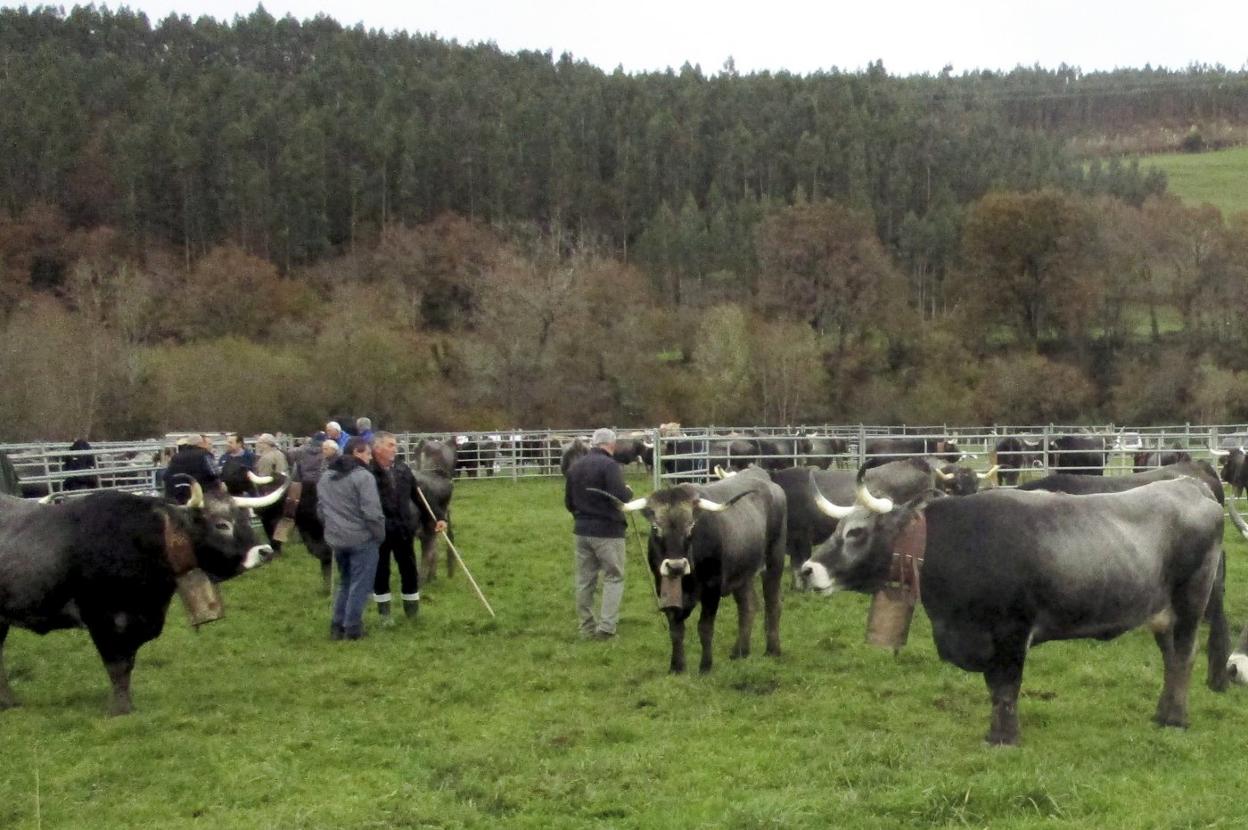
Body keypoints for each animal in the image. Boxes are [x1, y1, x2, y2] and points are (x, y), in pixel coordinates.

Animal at [1, 476, 287, 713]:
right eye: (221, 525)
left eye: (244, 517)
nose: (264, 551)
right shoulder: (102, 619)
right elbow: (116, 665)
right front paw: (119, 709)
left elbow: (127, 665)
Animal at [604, 466, 778, 673]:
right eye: (655, 528)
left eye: (691, 527)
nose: (676, 566)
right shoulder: (662, 588)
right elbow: (676, 629)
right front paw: (676, 667)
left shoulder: (712, 588)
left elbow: (705, 627)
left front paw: (705, 667)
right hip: (743, 574)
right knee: (748, 606)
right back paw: (740, 652)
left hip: (774, 561)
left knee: (773, 604)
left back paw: (773, 650)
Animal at [803, 466, 1223, 743]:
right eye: (837, 529)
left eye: (856, 532)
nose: (808, 570)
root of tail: (1191, 486)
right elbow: (996, 689)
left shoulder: (1011, 633)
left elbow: (1005, 688)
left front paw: (1004, 738)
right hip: (1162, 614)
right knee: (1170, 658)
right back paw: (1162, 714)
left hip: (1191, 603)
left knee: (1184, 656)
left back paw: (1177, 719)